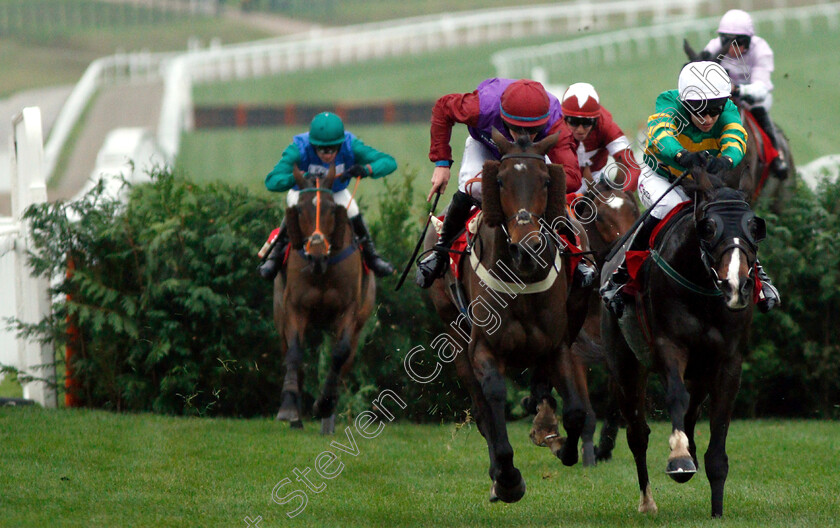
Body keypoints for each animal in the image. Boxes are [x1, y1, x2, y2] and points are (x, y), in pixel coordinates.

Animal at [276, 165, 374, 434]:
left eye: (331, 208)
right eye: (300, 209)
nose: (317, 255)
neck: (323, 271)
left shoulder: (349, 310)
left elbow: (339, 355)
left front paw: (324, 405)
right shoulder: (294, 308)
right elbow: (295, 354)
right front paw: (289, 409)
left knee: (343, 365)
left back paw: (327, 416)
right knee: (291, 355)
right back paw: (297, 417)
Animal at [424, 129, 588, 504]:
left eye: (546, 181)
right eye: (499, 181)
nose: (526, 249)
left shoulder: (557, 345)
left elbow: (575, 411)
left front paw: (560, 444)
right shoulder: (483, 347)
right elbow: (493, 399)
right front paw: (508, 477)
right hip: (453, 332)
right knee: (481, 406)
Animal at [600, 171, 764, 516]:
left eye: (755, 227)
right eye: (709, 227)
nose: (736, 285)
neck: (703, 290)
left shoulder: (729, 360)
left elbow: (719, 427)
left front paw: (717, 510)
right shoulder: (669, 346)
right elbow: (675, 396)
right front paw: (679, 459)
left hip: (700, 372)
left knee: (690, 414)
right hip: (625, 364)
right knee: (638, 433)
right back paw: (647, 502)